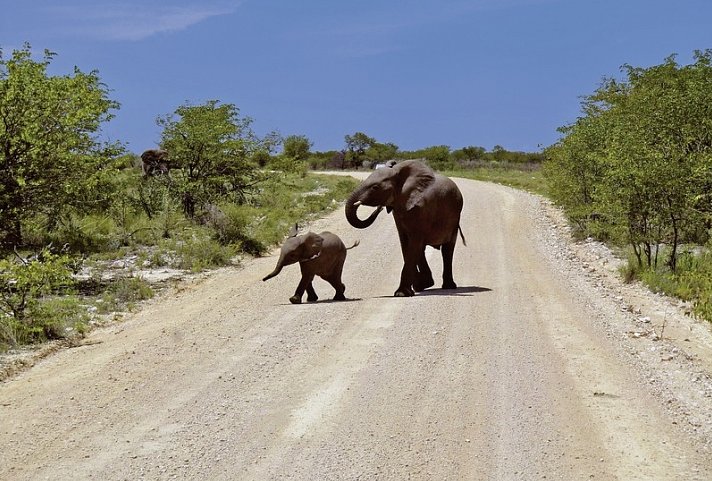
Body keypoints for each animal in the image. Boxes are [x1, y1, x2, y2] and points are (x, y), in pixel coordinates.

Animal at [344, 160, 464, 296]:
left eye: (375, 187)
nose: (379, 208)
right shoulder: (398, 210)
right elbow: (406, 243)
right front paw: (418, 286)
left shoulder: (422, 209)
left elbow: (414, 244)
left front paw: (402, 293)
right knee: (422, 248)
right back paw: (423, 286)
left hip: (455, 217)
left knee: (447, 250)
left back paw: (448, 286)